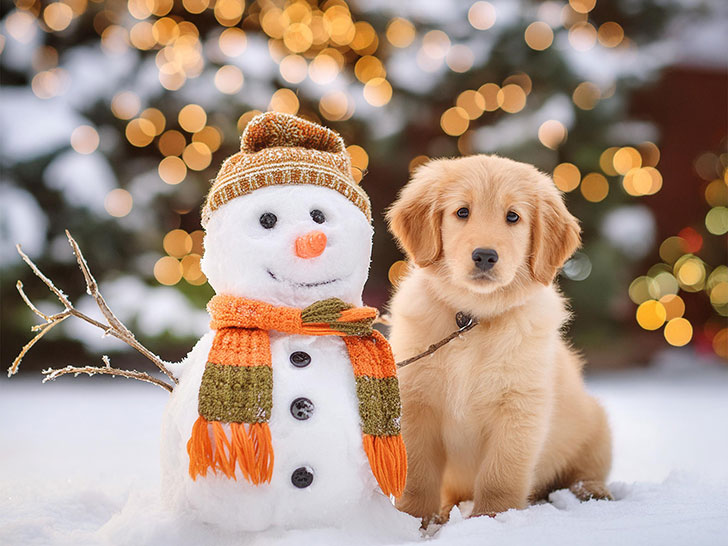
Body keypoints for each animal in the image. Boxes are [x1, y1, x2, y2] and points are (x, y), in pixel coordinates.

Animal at [390, 154, 612, 524]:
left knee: (586, 472)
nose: (485, 255)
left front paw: (492, 519)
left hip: (595, 425)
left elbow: (501, 473)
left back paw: (591, 492)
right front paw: (413, 520)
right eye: (462, 212)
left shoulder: (520, 407)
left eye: (513, 216)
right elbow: (417, 473)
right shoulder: (415, 402)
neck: (472, 319)